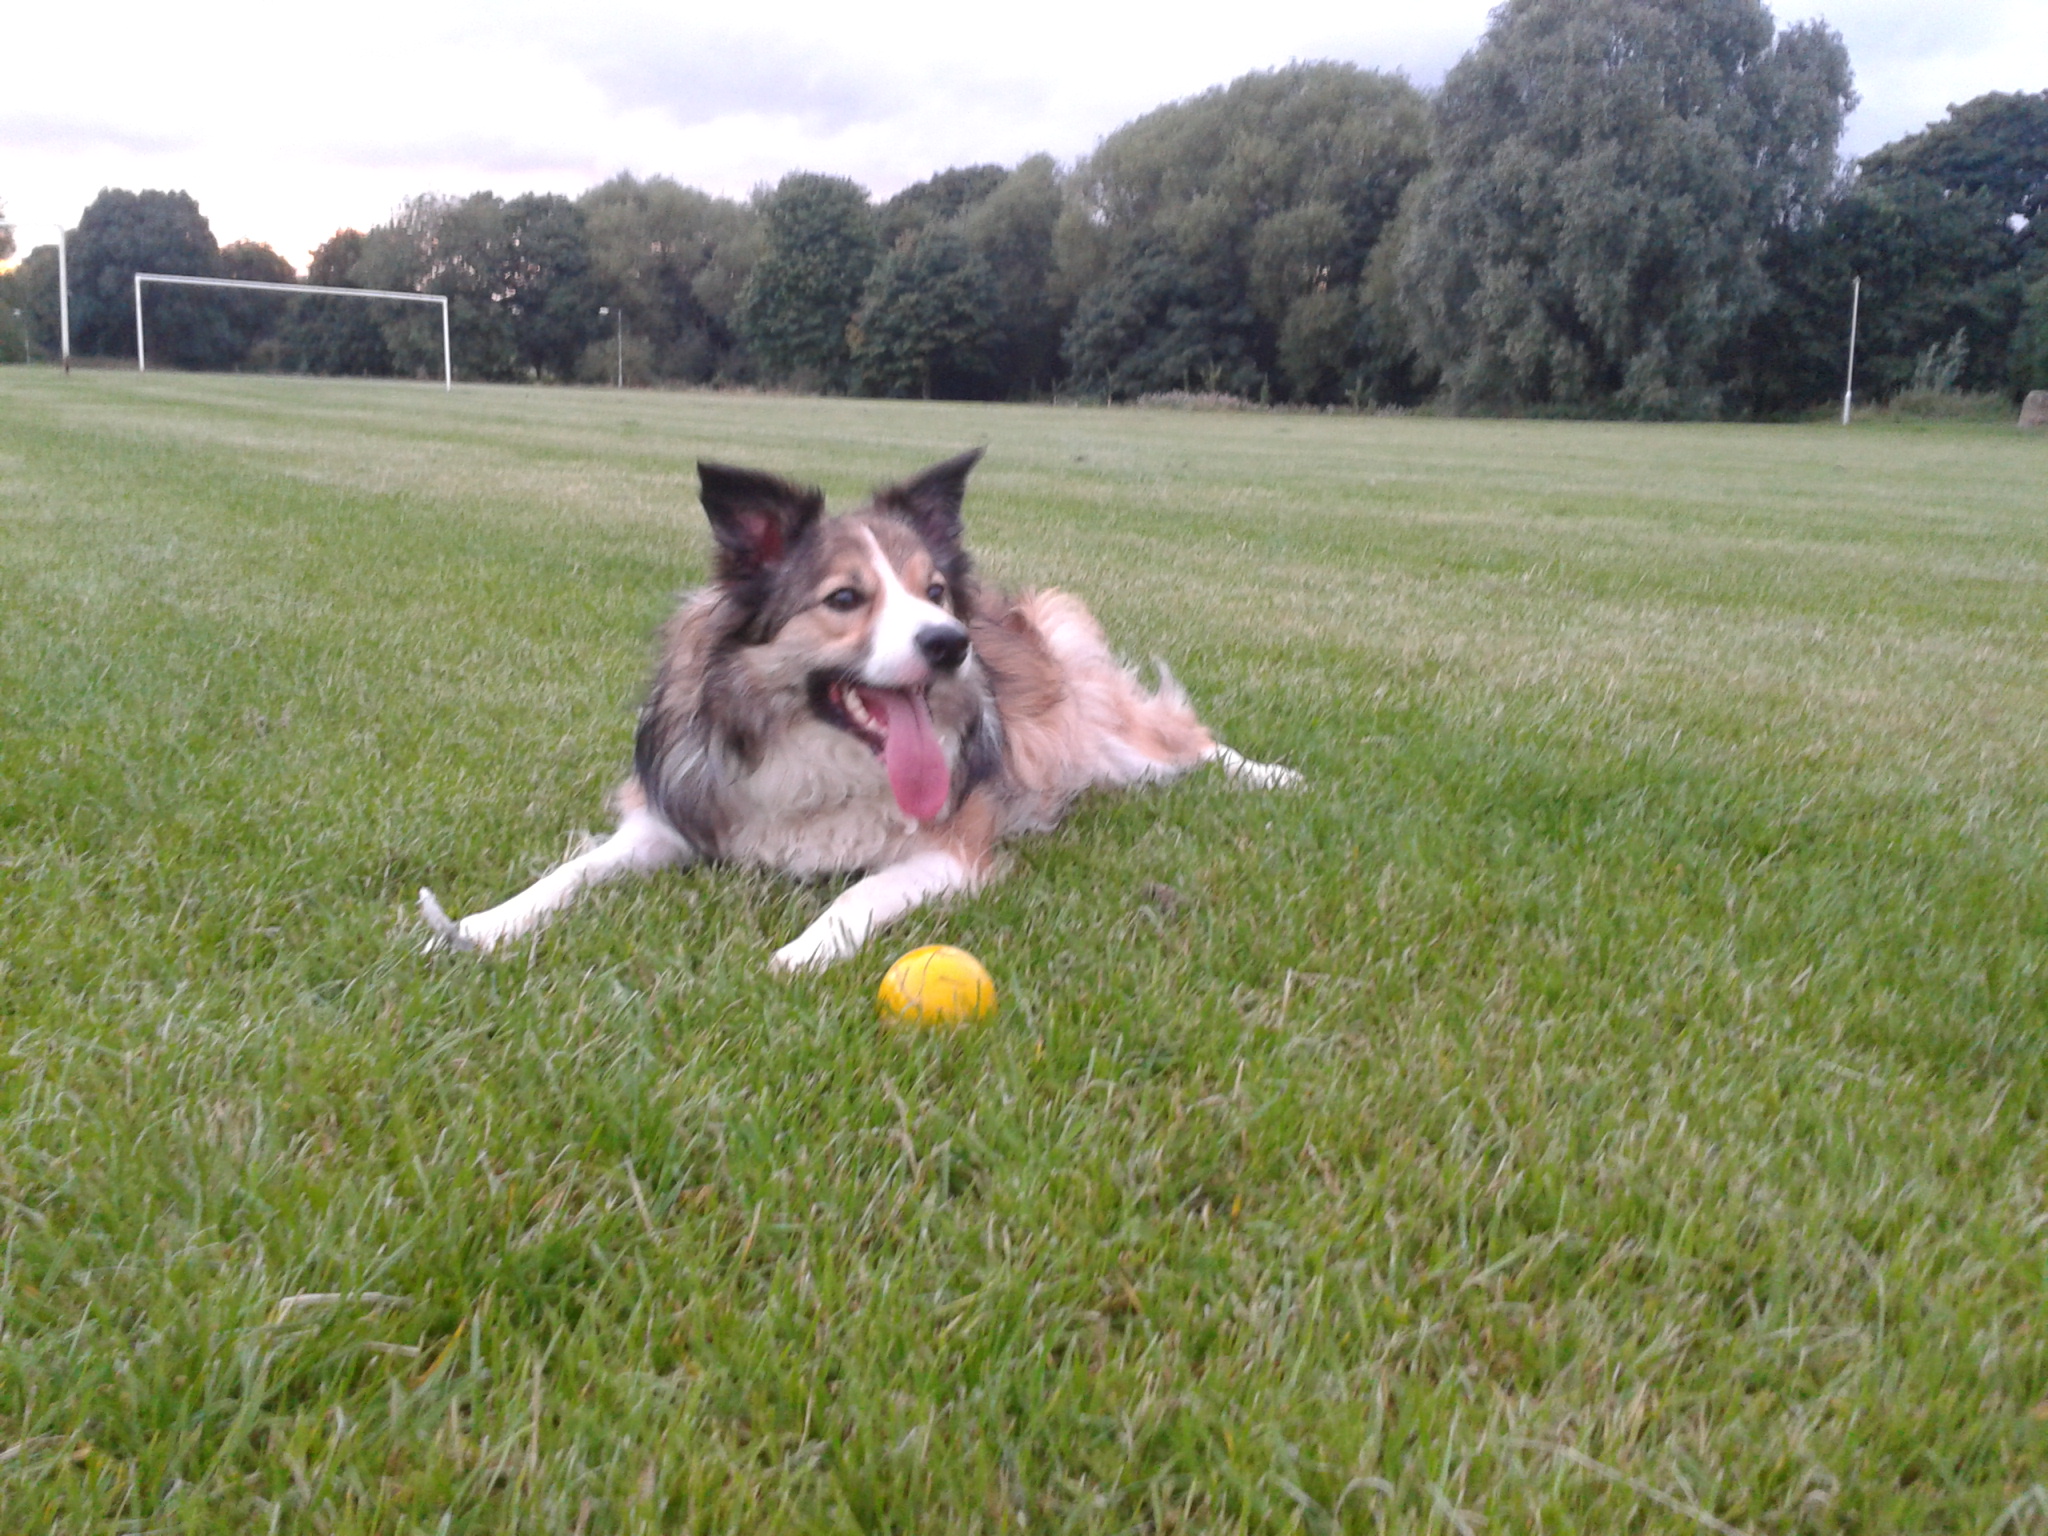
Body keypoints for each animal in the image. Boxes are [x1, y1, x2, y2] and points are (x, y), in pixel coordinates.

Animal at [418, 450, 1299, 970]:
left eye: (933, 591)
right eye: (845, 598)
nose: (951, 643)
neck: (817, 752)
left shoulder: (954, 848)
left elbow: (858, 894)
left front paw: (799, 955)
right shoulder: (676, 816)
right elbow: (572, 872)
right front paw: (478, 925)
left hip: (1096, 726)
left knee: (1183, 743)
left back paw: (1274, 775)